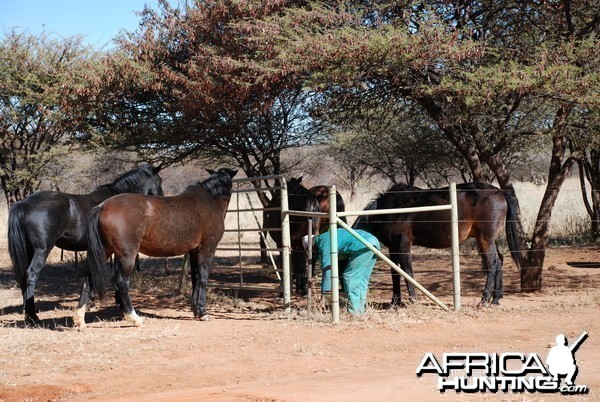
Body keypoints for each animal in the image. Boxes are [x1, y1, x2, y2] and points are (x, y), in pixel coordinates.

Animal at [7, 163, 162, 324]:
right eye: (159, 181)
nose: (161, 199)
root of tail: (25, 203)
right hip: (41, 250)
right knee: (31, 274)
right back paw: (32, 315)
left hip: (29, 250)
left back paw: (26, 312)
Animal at [73, 168, 237, 328]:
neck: (209, 201)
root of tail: (102, 206)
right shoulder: (207, 248)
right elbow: (202, 277)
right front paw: (203, 312)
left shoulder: (193, 251)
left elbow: (195, 278)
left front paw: (196, 310)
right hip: (127, 255)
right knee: (122, 283)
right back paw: (134, 318)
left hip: (104, 252)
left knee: (88, 279)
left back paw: (79, 319)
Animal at [354, 184, 524, 306]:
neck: (389, 210)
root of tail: (499, 192)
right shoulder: (392, 247)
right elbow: (395, 274)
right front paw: (394, 302)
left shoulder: (403, 245)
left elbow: (408, 272)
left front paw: (413, 300)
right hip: (488, 240)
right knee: (499, 261)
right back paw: (496, 299)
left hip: (485, 239)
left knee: (493, 264)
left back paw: (484, 300)